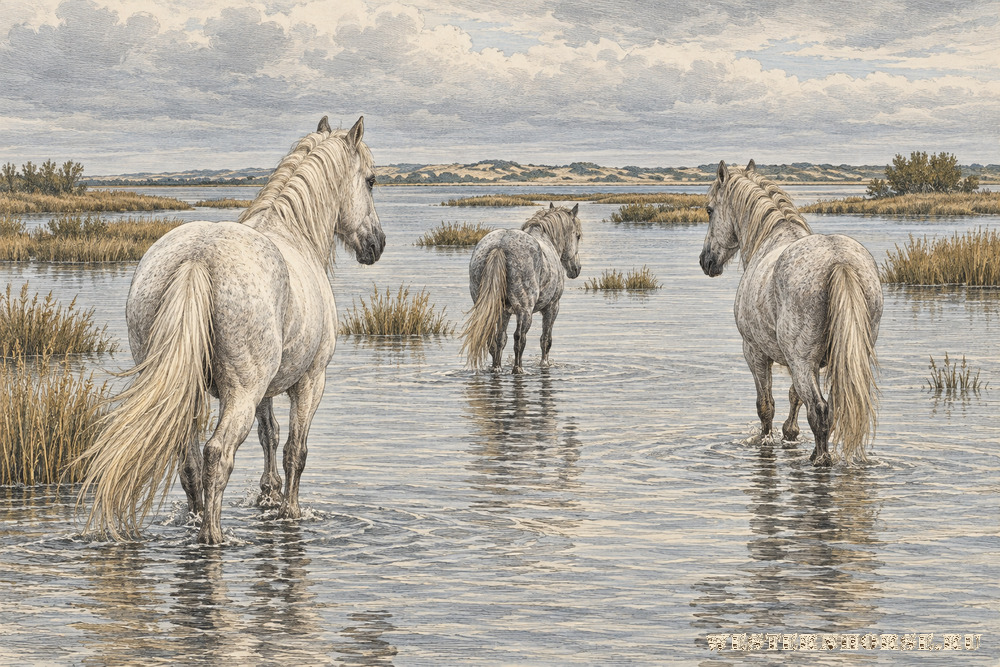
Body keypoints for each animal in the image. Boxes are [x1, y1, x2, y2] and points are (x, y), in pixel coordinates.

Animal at [77, 116, 386, 544]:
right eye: (370, 181)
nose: (376, 244)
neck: (295, 235)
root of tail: (197, 258)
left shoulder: (268, 389)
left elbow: (269, 434)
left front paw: (269, 495)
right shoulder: (310, 380)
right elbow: (295, 451)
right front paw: (289, 511)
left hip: (191, 391)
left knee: (189, 460)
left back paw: (197, 520)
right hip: (242, 391)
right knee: (217, 454)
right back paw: (212, 535)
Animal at [461, 203, 582, 373]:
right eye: (577, 235)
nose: (576, 269)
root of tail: (500, 246)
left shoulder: (505, 311)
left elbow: (501, 339)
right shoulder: (552, 307)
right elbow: (546, 339)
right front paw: (544, 364)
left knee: (494, 338)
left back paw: (497, 368)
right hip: (525, 311)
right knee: (519, 338)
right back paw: (518, 369)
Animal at [699, 160, 882, 466]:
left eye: (709, 210)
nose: (706, 261)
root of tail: (839, 261)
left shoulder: (755, 352)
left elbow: (765, 405)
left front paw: (766, 439)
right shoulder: (802, 363)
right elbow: (795, 396)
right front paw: (790, 433)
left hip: (799, 361)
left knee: (819, 410)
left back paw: (820, 459)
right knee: (831, 407)